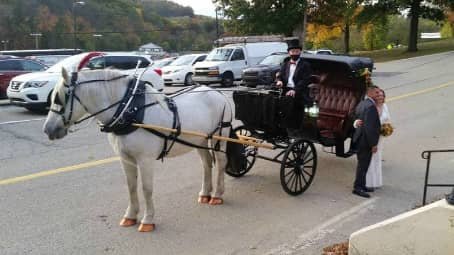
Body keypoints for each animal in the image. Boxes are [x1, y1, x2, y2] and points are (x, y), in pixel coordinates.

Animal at [44, 67, 232, 231]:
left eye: (59, 98)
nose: (47, 129)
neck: (129, 111)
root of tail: (217, 93)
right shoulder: (126, 158)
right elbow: (131, 186)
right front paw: (130, 216)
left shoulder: (145, 160)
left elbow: (146, 189)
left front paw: (147, 220)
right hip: (200, 139)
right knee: (206, 163)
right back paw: (205, 194)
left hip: (219, 136)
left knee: (221, 162)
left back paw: (217, 195)